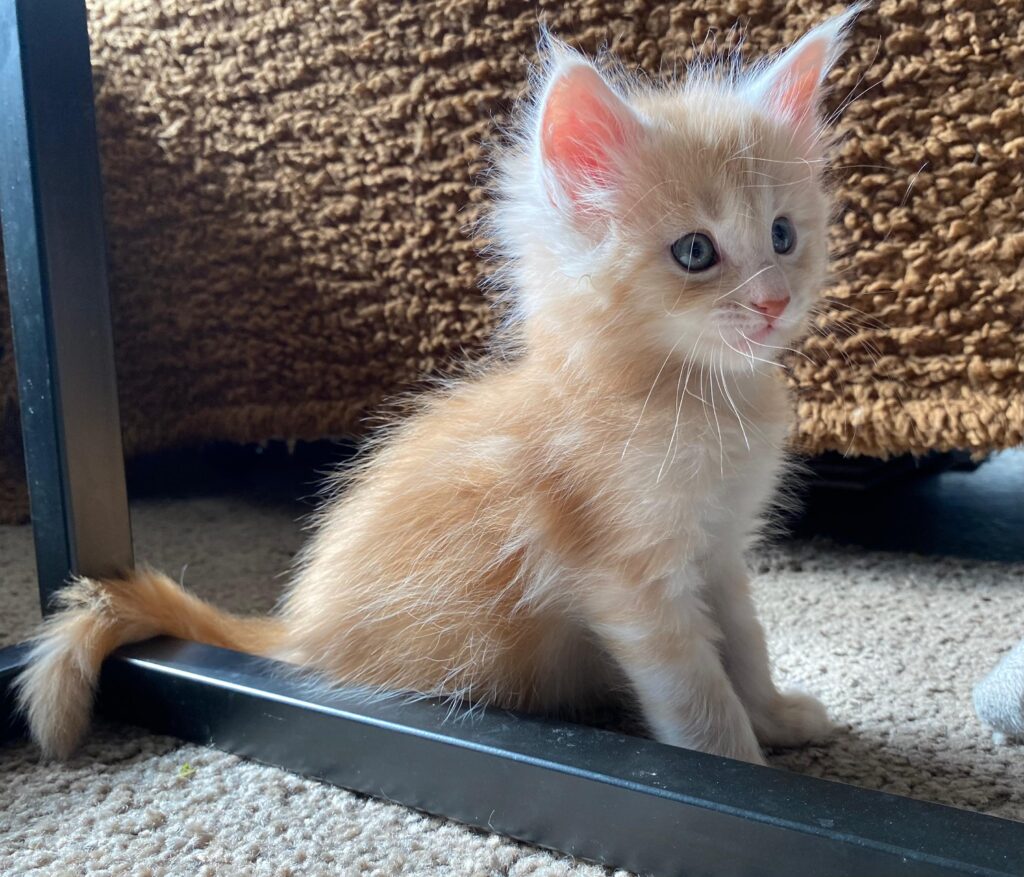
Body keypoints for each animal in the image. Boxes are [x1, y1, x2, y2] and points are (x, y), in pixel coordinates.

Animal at [18, 6, 864, 762]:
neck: (691, 397)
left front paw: (777, 715)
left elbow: (746, 642)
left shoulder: (719, 552)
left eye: (783, 235)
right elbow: (698, 693)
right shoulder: (632, 579)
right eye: (695, 251)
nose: (774, 301)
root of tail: (294, 635)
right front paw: (743, 767)